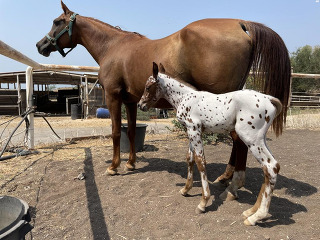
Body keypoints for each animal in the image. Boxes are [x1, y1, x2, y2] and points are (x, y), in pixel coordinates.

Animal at [36, 1, 292, 201]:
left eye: (57, 21)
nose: (40, 45)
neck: (112, 47)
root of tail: (240, 23)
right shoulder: (131, 101)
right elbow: (131, 131)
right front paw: (130, 163)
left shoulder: (113, 96)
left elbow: (116, 132)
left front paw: (114, 166)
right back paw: (226, 178)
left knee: (238, 140)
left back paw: (233, 184)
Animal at [138, 62, 282, 226]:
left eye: (148, 86)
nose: (140, 105)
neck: (184, 97)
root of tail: (269, 99)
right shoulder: (192, 132)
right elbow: (190, 158)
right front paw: (185, 190)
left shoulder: (194, 130)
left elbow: (200, 162)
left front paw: (203, 202)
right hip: (259, 139)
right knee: (269, 168)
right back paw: (250, 211)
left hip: (250, 138)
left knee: (270, 167)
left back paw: (256, 217)